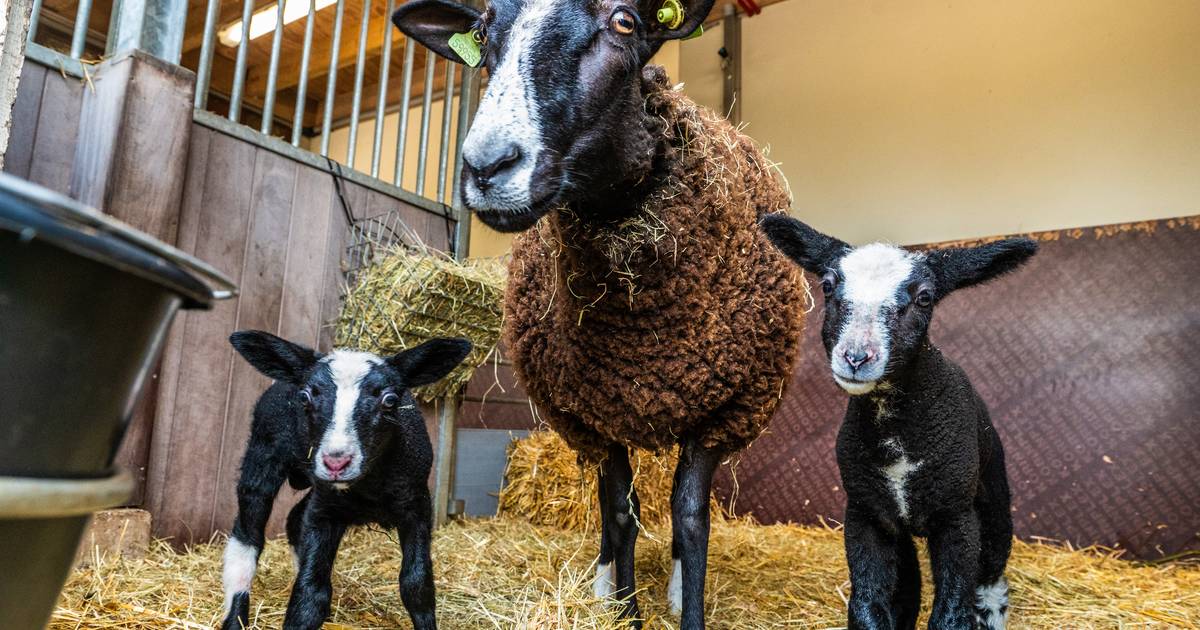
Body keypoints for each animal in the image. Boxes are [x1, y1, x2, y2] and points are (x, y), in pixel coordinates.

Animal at [219, 328, 468, 628]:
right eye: (304, 398)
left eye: (390, 401)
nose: (336, 461)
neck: (369, 488)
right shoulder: (325, 512)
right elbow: (310, 595)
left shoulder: (416, 506)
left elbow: (417, 586)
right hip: (264, 452)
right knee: (247, 538)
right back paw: (236, 617)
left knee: (294, 519)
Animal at [768, 213, 1041, 624]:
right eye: (828, 286)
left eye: (924, 297)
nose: (856, 357)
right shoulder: (866, 514)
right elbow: (869, 604)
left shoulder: (956, 517)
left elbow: (952, 612)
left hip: (992, 497)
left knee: (992, 575)